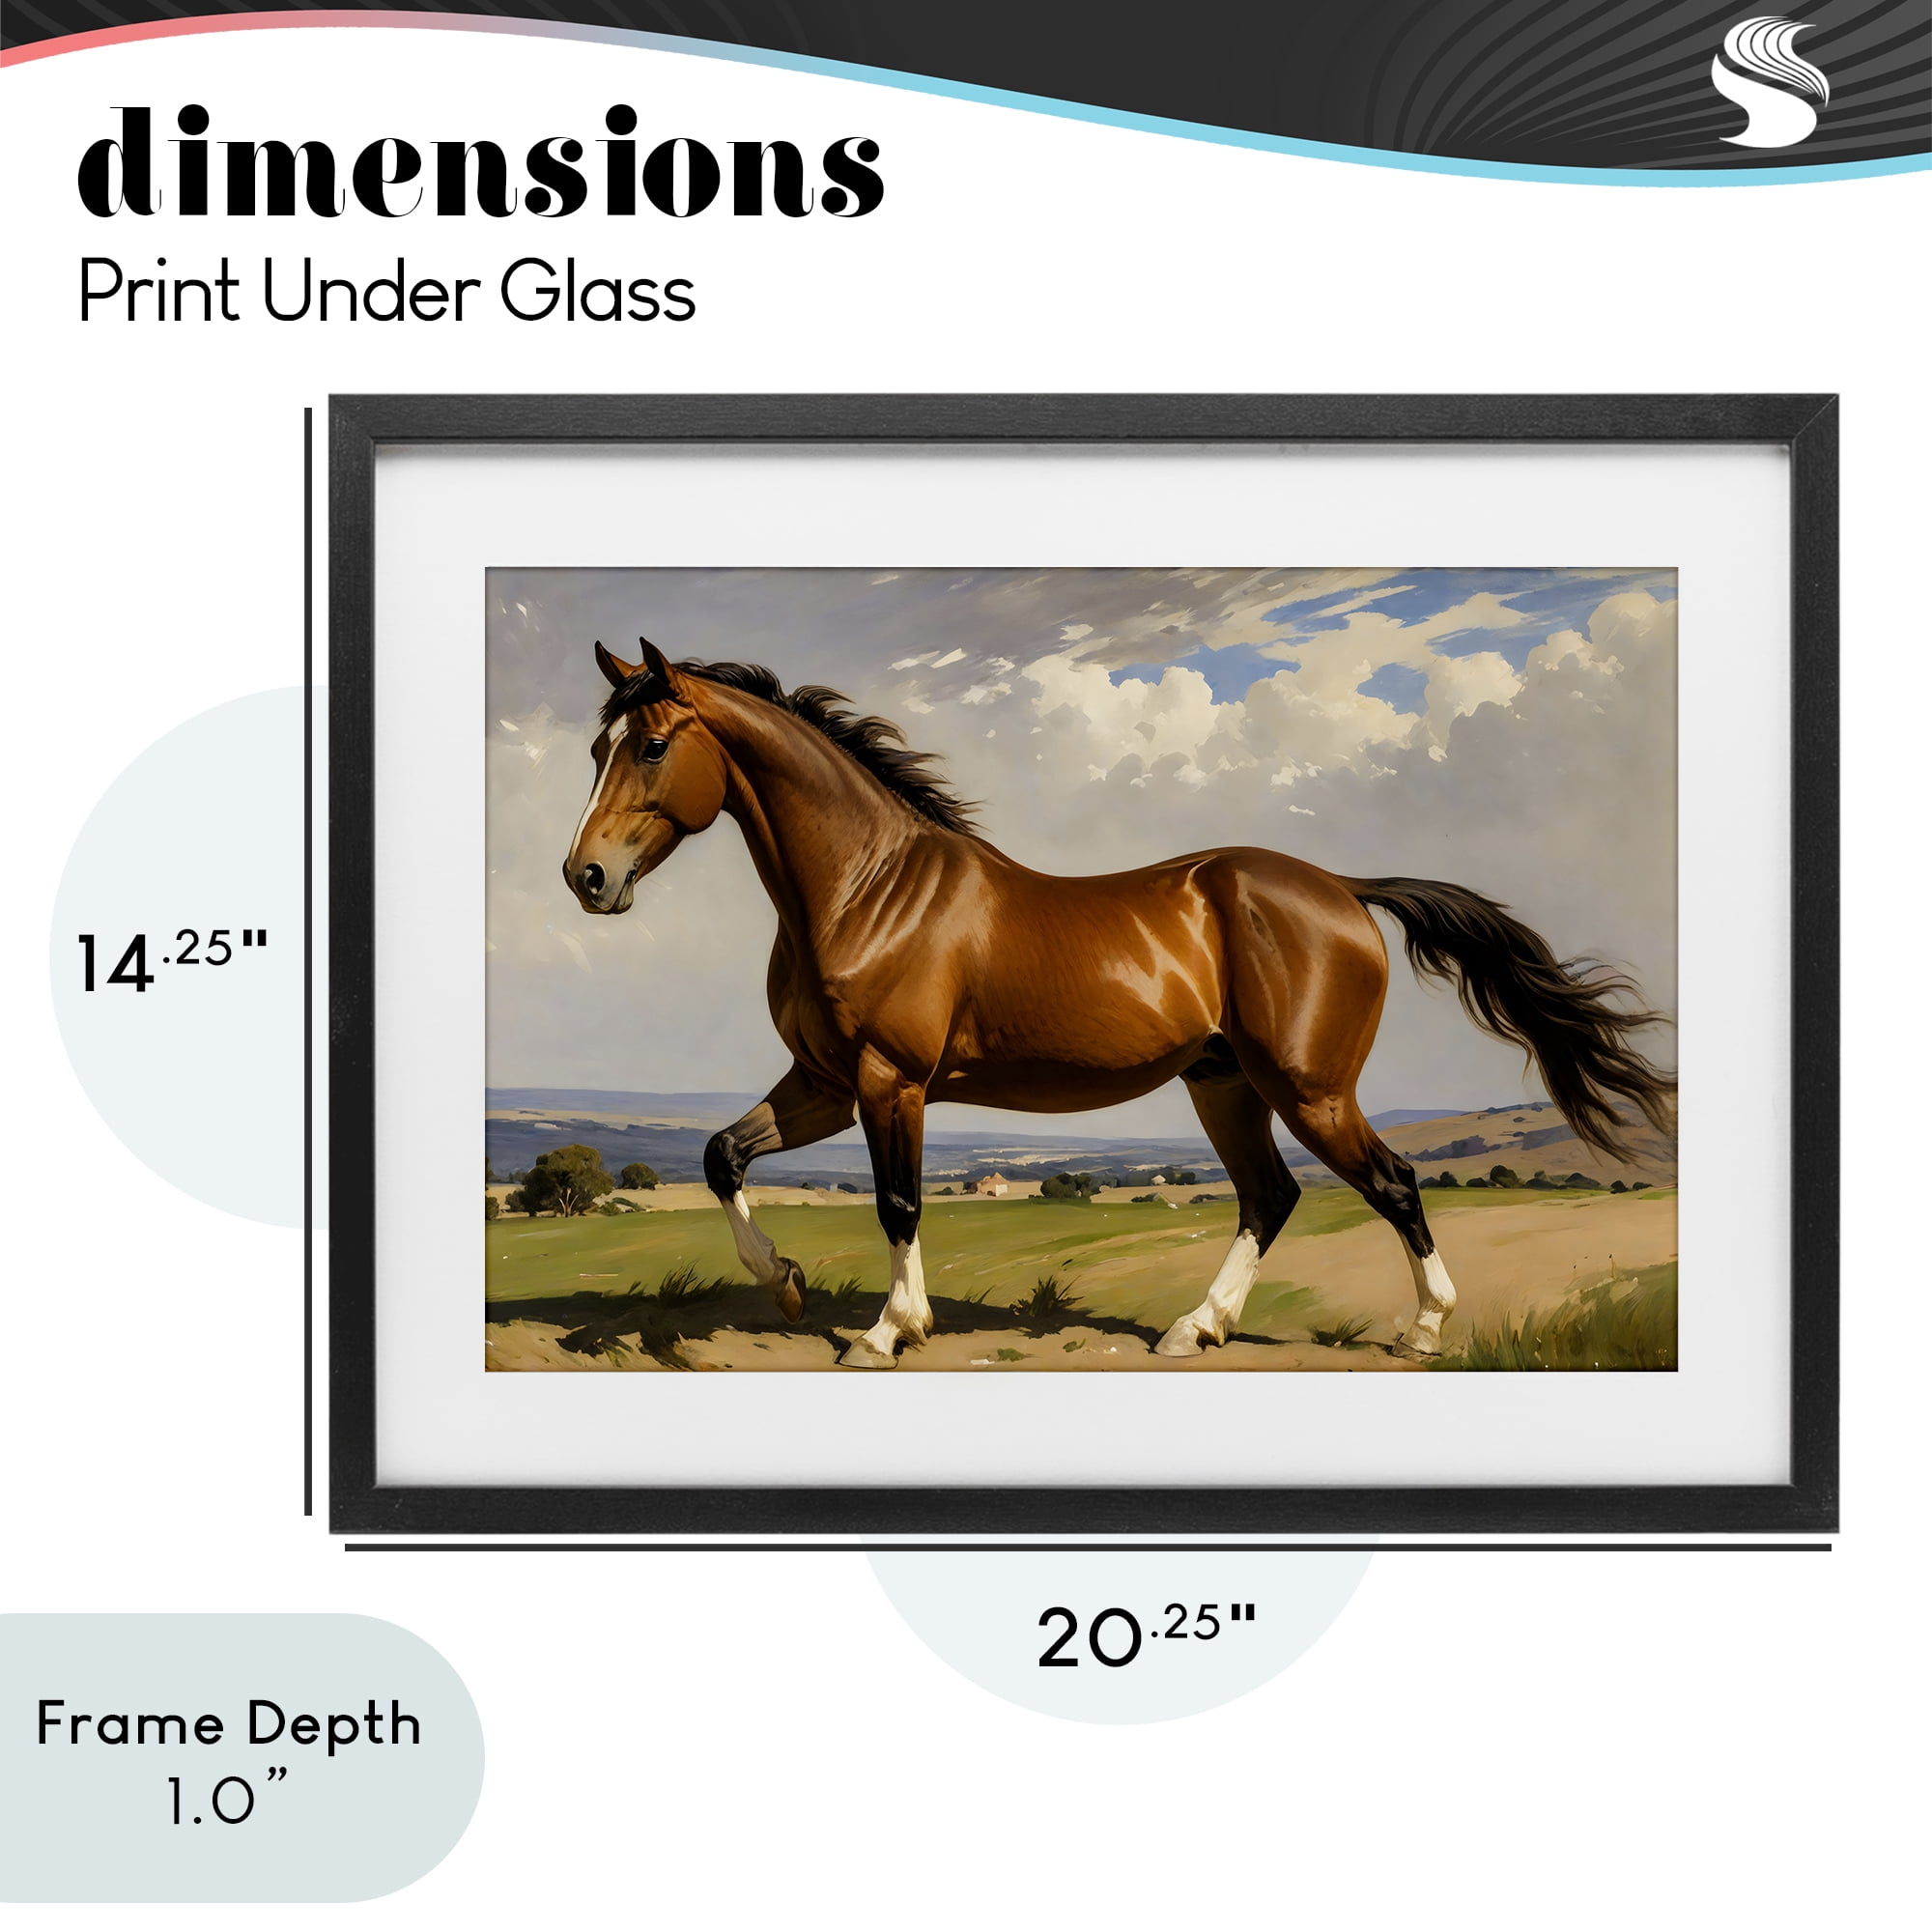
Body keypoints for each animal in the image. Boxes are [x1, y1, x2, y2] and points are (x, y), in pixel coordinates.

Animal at [562, 638, 1674, 1368]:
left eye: (652, 744)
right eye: (595, 749)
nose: (586, 877)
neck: (865, 890)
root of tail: (1342, 890)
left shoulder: (891, 1082)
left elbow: (898, 1201)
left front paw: (888, 1330)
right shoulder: (827, 1081)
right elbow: (721, 1155)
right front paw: (788, 1282)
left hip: (1308, 1088)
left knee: (1393, 1182)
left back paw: (1423, 1329)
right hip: (1225, 1084)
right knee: (1269, 1197)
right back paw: (1195, 1328)